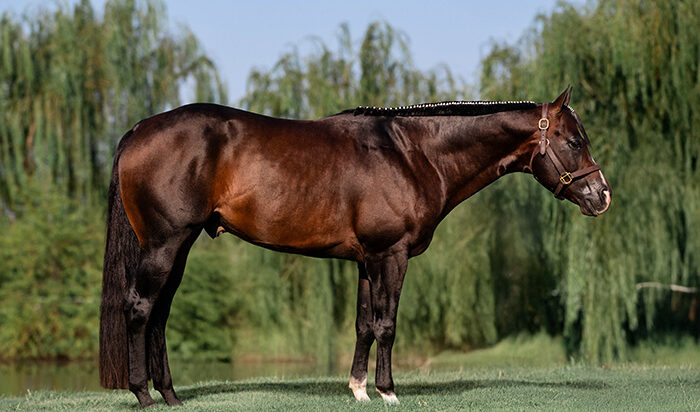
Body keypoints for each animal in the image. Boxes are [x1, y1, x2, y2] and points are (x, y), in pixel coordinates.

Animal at [99, 86, 611, 407]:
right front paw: (389, 391)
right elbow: (387, 324)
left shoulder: (367, 260)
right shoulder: (391, 255)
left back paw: (170, 396)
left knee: (160, 313)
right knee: (140, 307)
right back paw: (143, 395)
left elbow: (364, 324)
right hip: (164, 244)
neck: (413, 154)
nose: (602, 195)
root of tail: (138, 129)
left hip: (180, 246)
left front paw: (359, 389)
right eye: (574, 140)